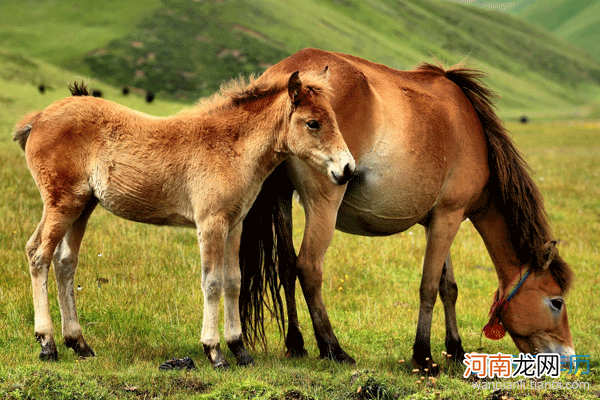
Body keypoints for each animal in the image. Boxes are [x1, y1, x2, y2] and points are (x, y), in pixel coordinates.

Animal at [14, 69, 356, 368]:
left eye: (334, 119)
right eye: (313, 123)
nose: (348, 169)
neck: (230, 147)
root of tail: (38, 118)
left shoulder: (234, 224)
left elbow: (233, 281)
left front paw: (240, 350)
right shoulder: (211, 222)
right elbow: (212, 281)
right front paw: (215, 352)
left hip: (83, 206)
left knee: (65, 262)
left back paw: (79, 344)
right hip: (62, 203)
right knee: (38, 253)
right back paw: (47, 344)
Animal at [239, 49, 576, 372]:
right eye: (556, 302)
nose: (568, 357)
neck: (473, 133)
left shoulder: (438, 220)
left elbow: (448, 287)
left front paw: (456, 349)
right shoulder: (449, 216)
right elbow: (429, 286)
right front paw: (423, 356)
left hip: (282, 198)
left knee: (285, 267)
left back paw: (296, 344)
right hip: (324, 203)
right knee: (308, 267)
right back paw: (333, 349)